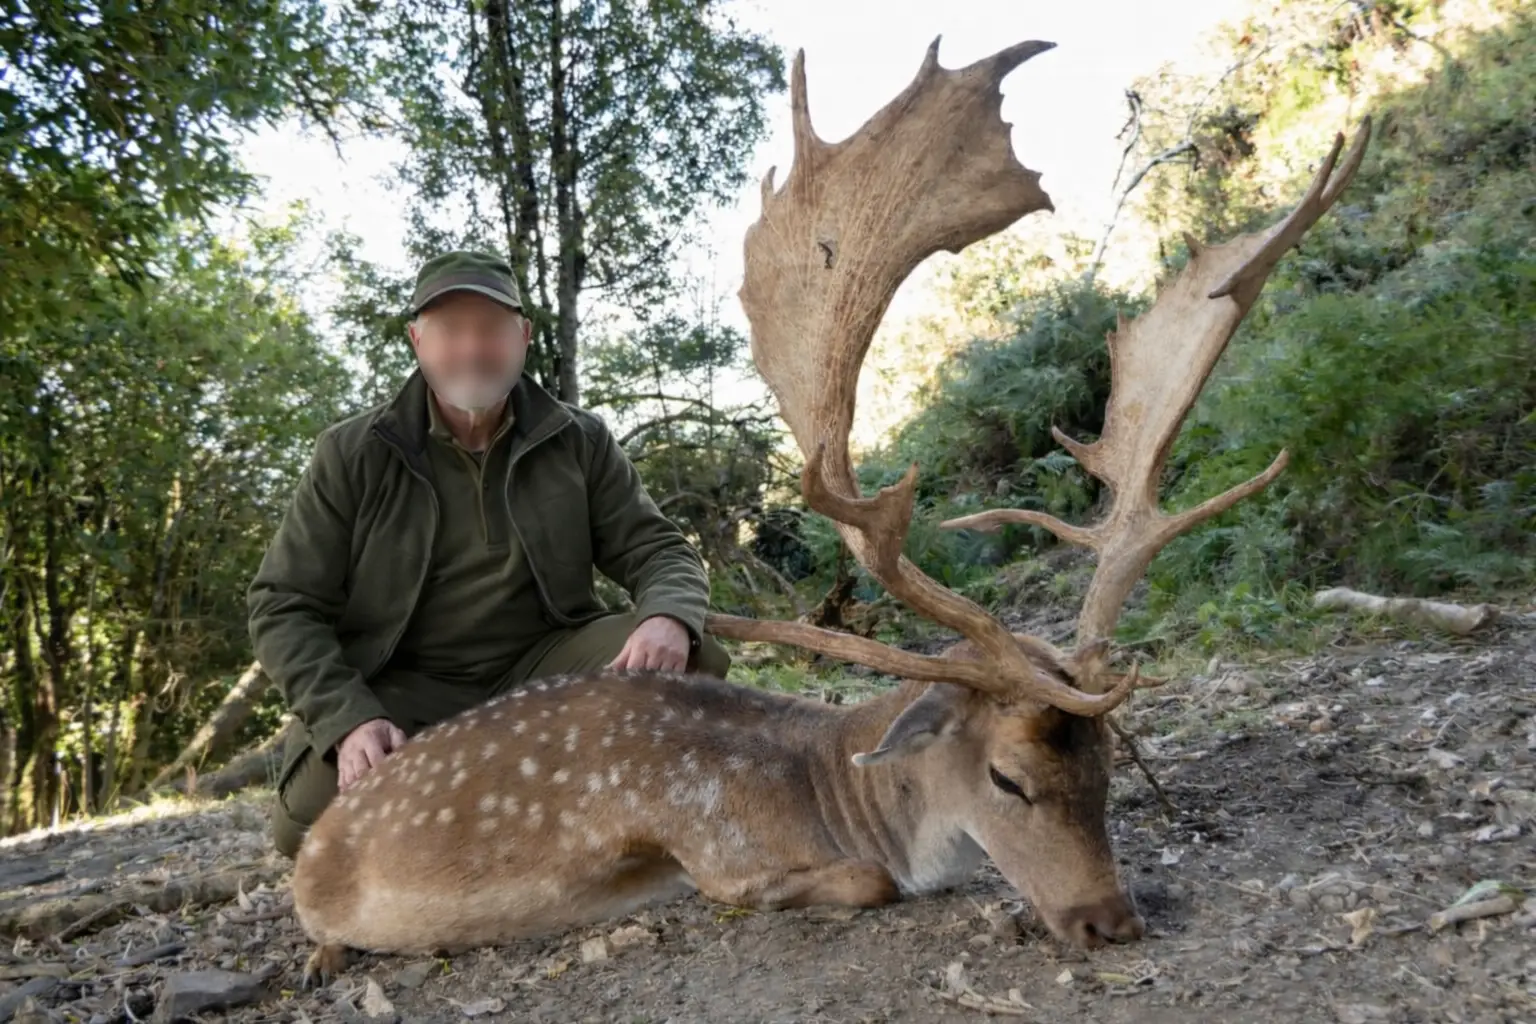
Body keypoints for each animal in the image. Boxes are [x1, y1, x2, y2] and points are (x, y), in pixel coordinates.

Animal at [289, 36, 1372, 984]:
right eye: (1007, 779)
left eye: (1109, 766)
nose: (1111, 920)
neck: (830, 785)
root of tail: (313, 842)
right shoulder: (713, 839)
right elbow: (856, 883)